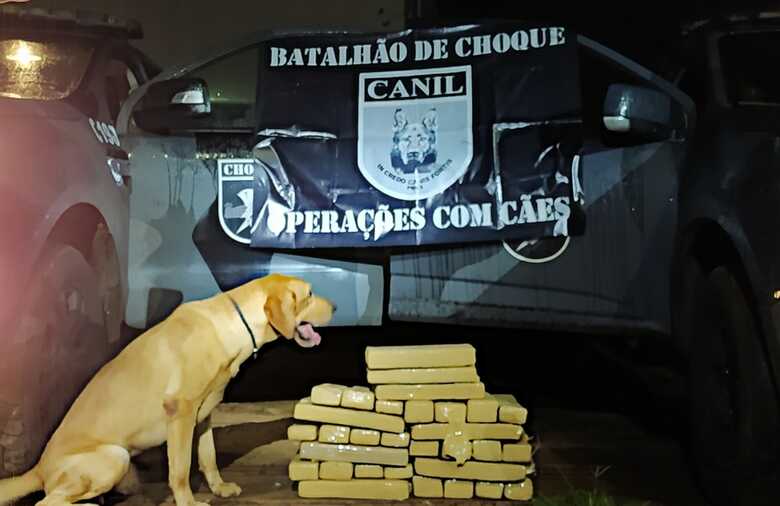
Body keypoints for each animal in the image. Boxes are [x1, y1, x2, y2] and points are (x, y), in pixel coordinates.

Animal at [0, 274, 334, 506]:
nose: (336, 306)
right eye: (310, 294)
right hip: (115, 456)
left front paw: (219, 488)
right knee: (47, 502)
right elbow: (181, 470)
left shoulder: (204, 415)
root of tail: (39, 468)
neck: (231, 325)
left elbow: (209, 458)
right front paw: (189, 502)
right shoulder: (181, 413)